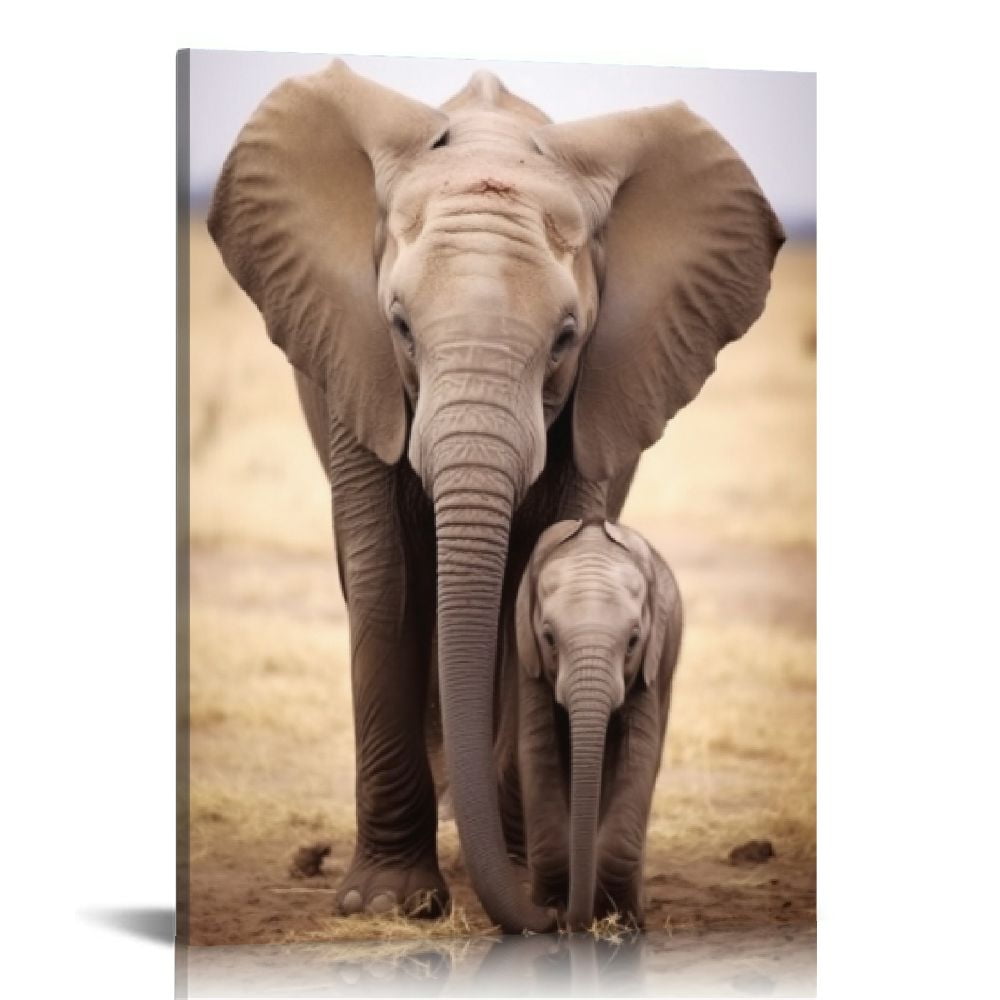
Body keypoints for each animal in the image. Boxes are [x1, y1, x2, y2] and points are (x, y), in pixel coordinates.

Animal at [514, 519, 682, 930]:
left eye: (633, 641)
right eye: (549, 638)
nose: (566, 921)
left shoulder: (649, 666)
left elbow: (638, 754)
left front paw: (623, 920)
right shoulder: (528, 661)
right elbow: (537, 748)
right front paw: (553, 904)